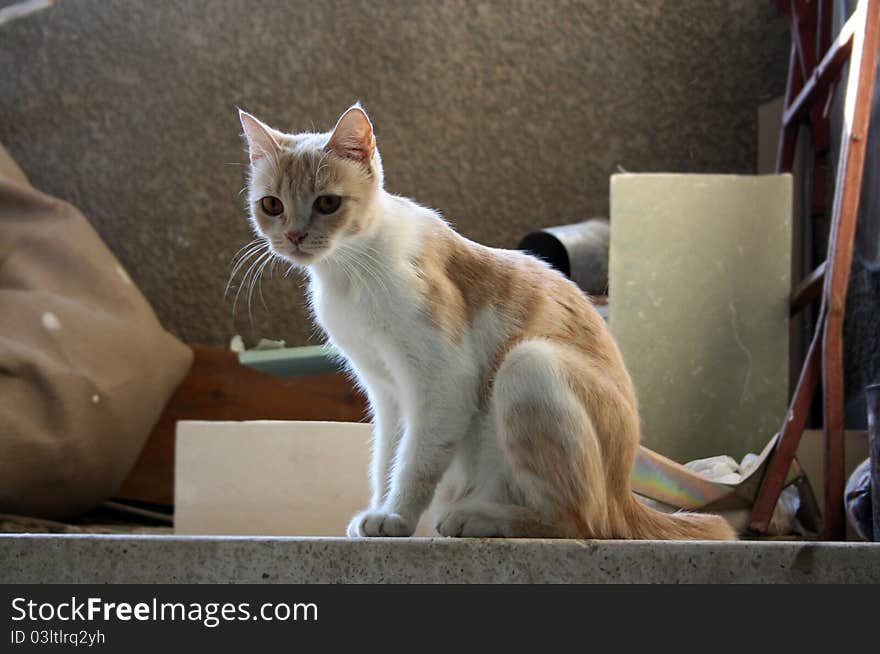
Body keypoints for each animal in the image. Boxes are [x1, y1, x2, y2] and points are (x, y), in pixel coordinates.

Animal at [235, 105, 736, 540]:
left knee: (581, 522)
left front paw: (396, 517)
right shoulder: (387, 392)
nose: (295, 235)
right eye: (272, 205)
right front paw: (378, 512)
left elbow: (415, 460)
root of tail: (625, 496)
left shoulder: (443, 382)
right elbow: (387, 458)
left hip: (529, 363)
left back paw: (479, 518)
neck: (349, 274)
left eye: (328, 203)